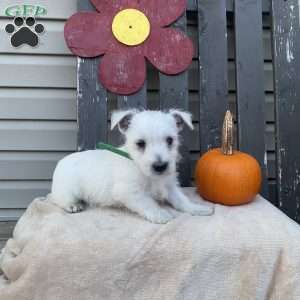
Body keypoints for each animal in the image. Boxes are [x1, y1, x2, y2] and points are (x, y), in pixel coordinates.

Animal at [50, 110, 212, 223]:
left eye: (170, 140)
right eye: (140, 143)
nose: (160, 166)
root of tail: (62, 162)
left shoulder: (170, 186)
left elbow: (181, 200)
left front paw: (197, 208)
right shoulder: (130, 192)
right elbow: (148, 203)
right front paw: (160, 214)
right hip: (66, 189)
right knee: (58, 198)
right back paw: (72, 205)